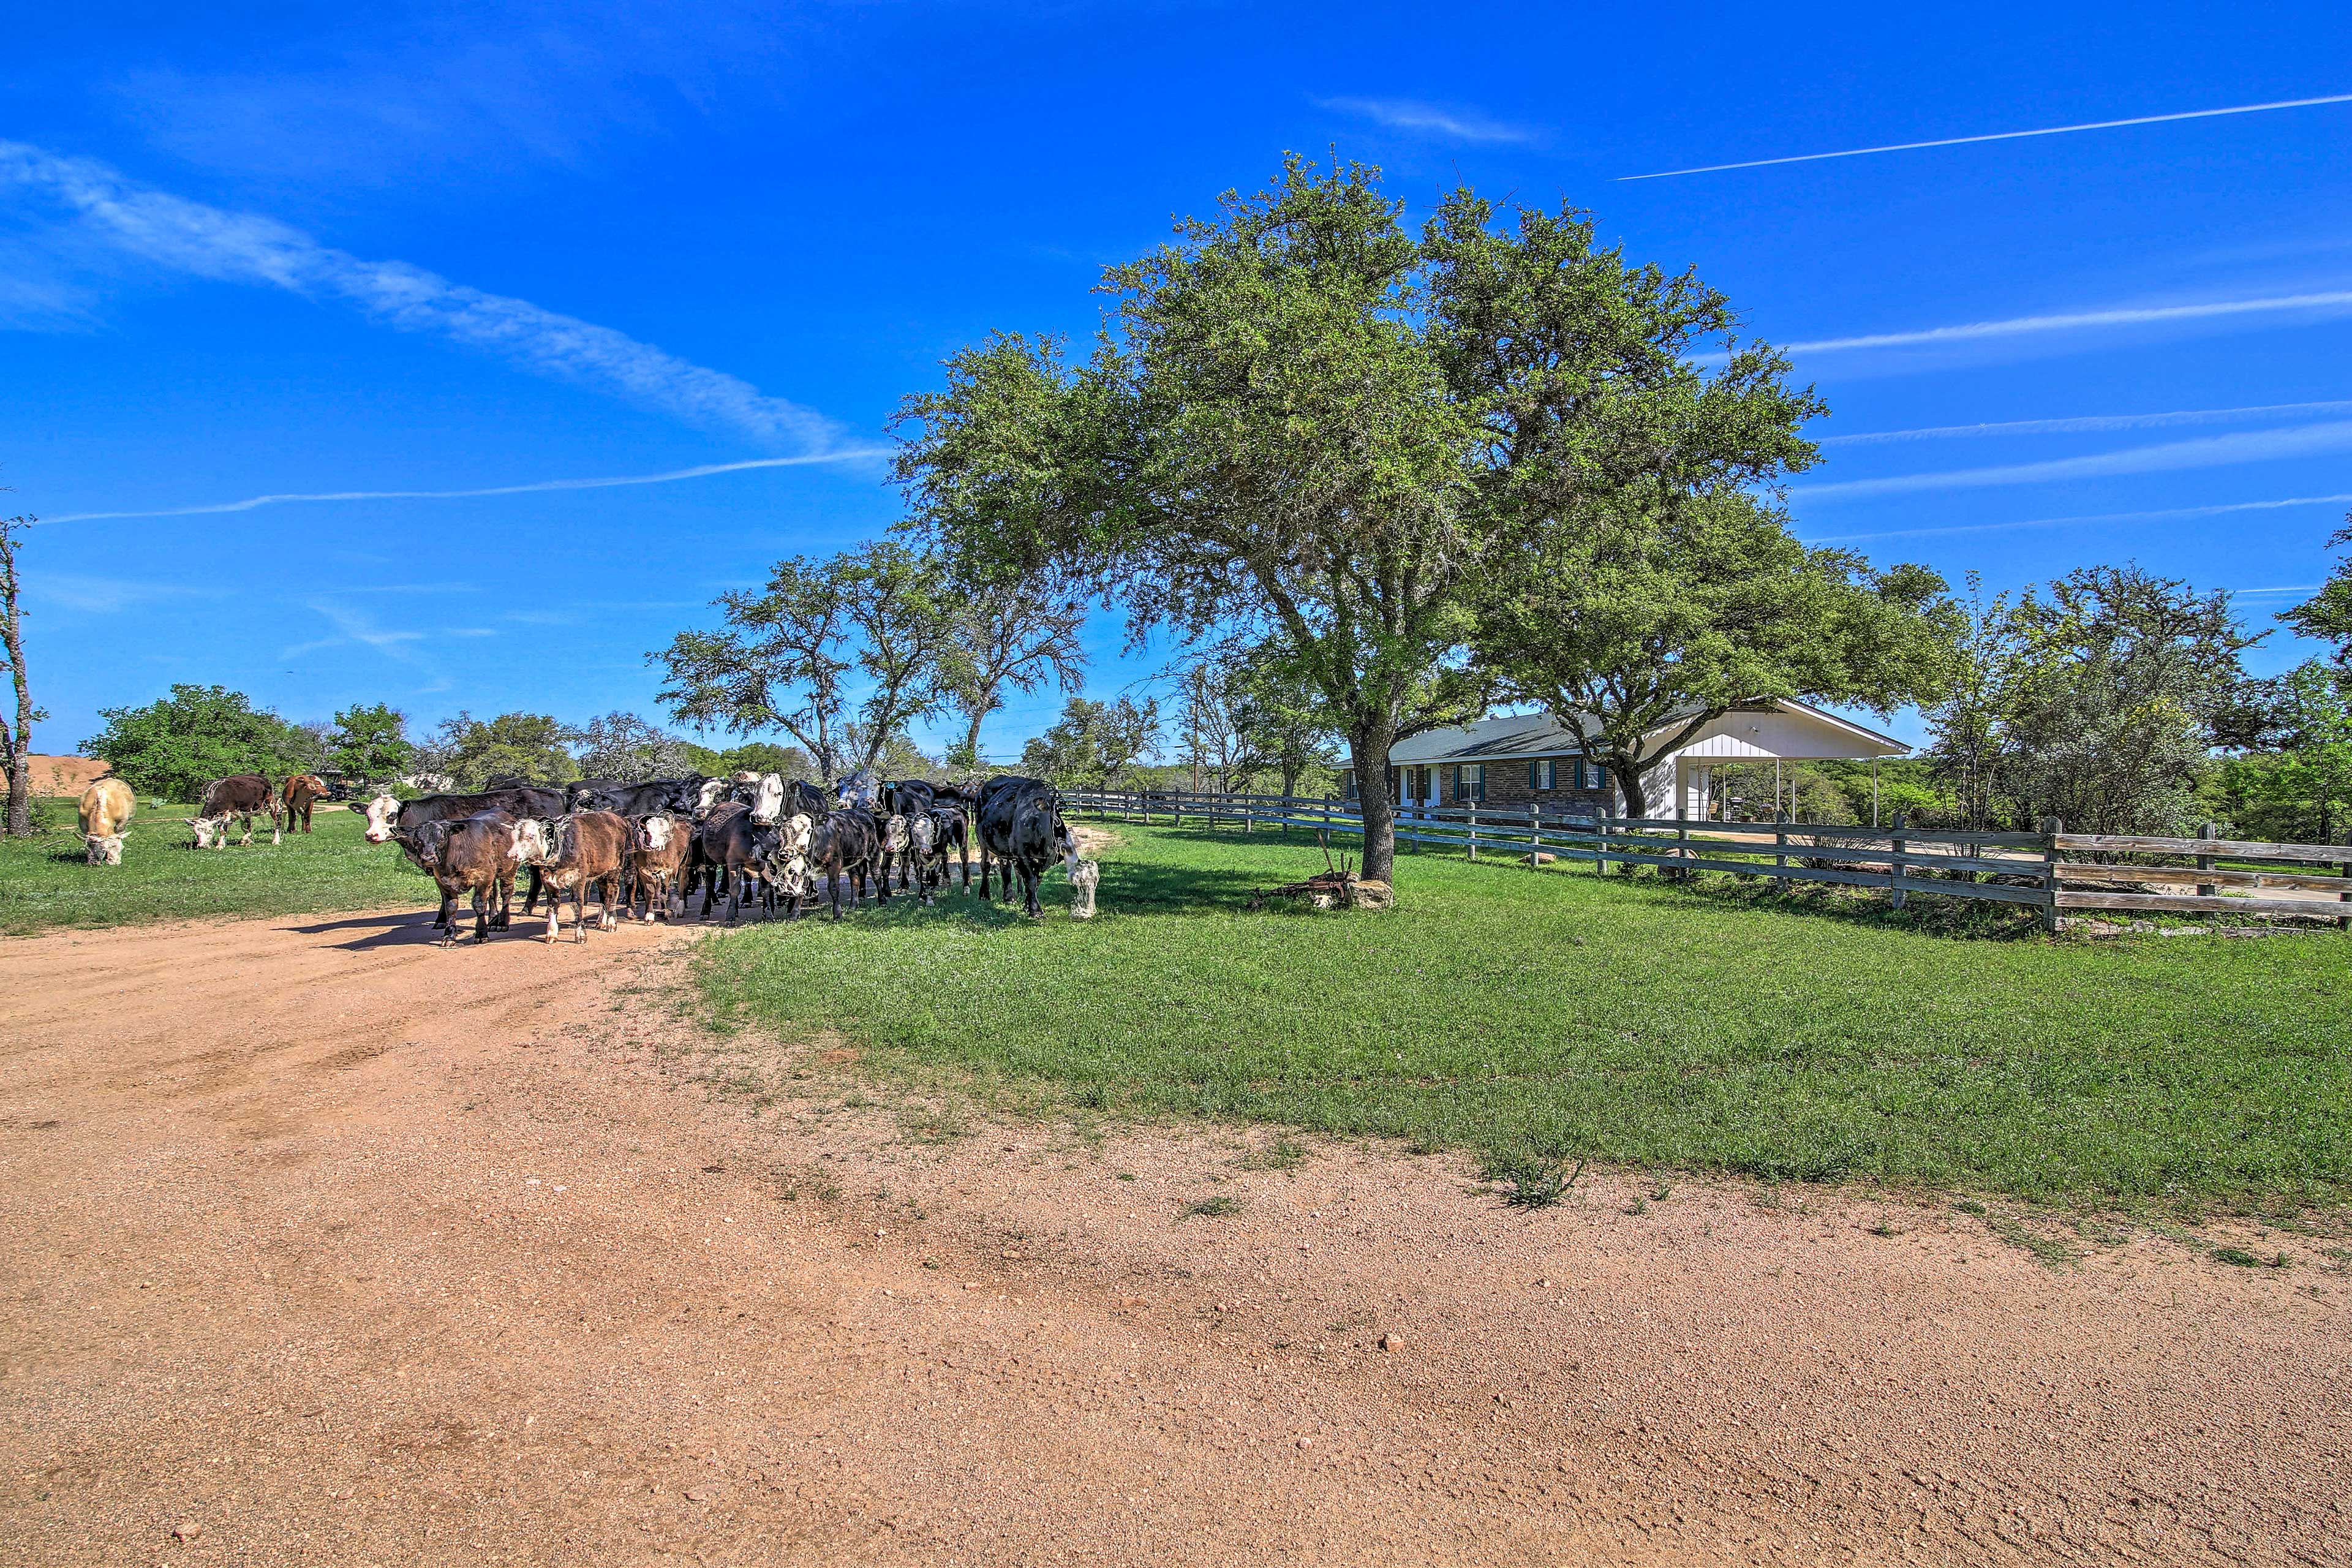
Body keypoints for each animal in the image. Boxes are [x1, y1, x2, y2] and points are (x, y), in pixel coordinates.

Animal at [510, 809, 630, 944]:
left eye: (531, 836)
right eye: (513, 836)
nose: (512, 855)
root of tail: (618, 818)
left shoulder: (579, 878)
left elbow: (577, 903)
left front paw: (581, 935)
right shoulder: (547, 881)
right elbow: (553, 905)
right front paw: (551, 934)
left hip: (615, 869)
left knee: (612, 893)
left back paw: (611, 923)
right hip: (601, 872)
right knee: (604, 896)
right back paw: (601, 922)